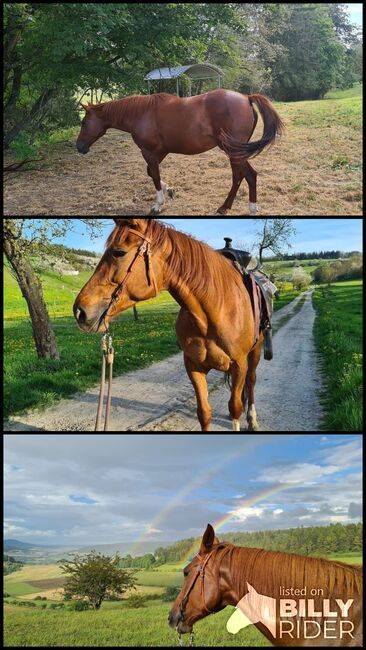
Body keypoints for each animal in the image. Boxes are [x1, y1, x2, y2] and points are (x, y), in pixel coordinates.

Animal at [73, 218, 264, 430]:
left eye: (119, 252)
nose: (79, 311)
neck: (214, 313)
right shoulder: (193, 367)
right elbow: (204, 413)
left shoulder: (239, 365)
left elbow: (235, 408)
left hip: (255, 354)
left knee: (251, 381)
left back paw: (252, 418)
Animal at [76, 88, 284, 214]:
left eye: (84, 122)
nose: (79, 147)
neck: (141, 113)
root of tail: (246, 98)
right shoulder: (159, 152)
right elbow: (151, 173)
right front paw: (170, 191)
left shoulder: (148, 152)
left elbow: (155, 176)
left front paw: (158, 204)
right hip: (234, 152)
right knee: (240, 177)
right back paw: (226, 207)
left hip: (233, 151)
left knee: (248, 175)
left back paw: (248, 208)